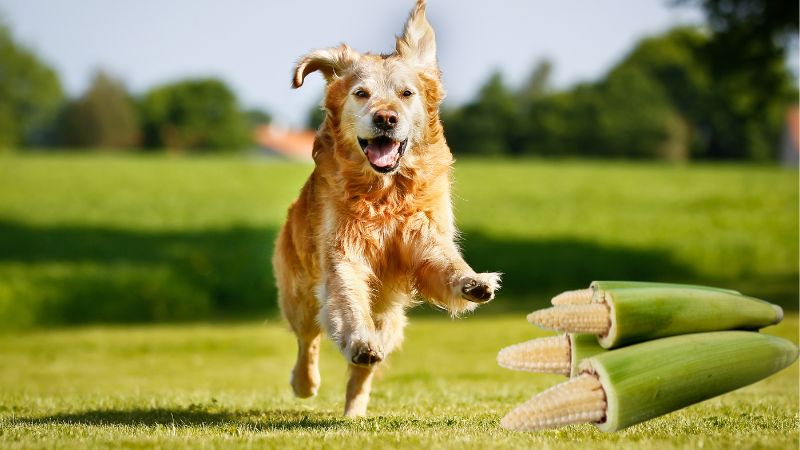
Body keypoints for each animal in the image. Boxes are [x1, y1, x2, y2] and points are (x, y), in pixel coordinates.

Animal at [276, 0, 500, 418]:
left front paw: (472, 281)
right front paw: (359, 341)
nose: (386, 118)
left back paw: (354, 412)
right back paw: (305, 383)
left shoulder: (423, 237)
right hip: (299, 295)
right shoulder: (343, 254)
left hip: (392, 320)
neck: (385, 194)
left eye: (406, 93)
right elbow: (349, 302)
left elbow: (446, 262)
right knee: (307, 340)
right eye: (361, 93)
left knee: (362, 371)